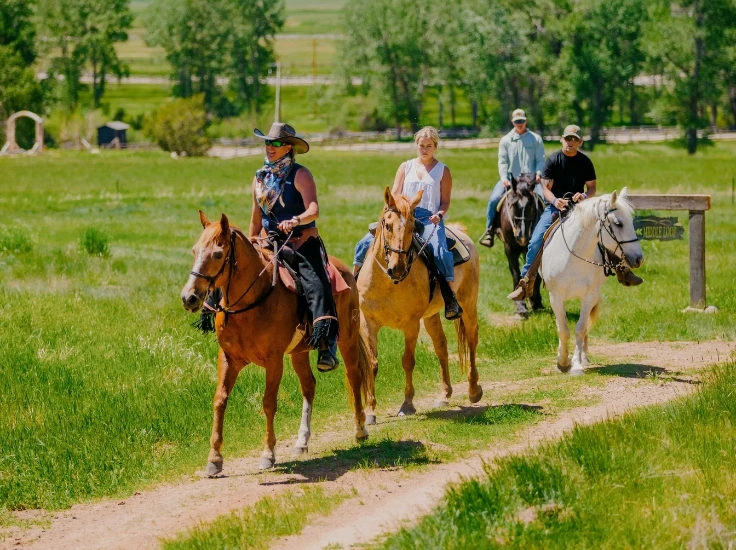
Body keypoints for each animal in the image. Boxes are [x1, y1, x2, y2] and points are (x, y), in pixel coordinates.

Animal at [181, 211, 373, 475]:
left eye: (218, 254)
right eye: (194, 250)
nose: (188, 297)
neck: (251, 303)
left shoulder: (274, 360)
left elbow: (268, 403)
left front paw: (268, 454)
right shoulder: (228, 358)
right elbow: (220, 400)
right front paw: (214, 459)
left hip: (348, 338)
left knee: (354, 377)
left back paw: (360, 429)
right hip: (299, 353)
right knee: (309, 386)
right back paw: (302, 441)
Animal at [357, 188, 483, 421]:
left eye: (412, 227)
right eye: (387, 225)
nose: (397, 268)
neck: (389, 283)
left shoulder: (411, 325)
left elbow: (408, 361)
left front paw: (407, 404)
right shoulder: (367, 322)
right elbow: (372, 363)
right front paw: (370, 411)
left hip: (468, 305)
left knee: (471, 341)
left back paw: (473, 390)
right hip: (431, 316)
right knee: (441, 346)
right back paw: (444, 395)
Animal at [496, 173, 544, 317]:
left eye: (532, 206)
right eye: (512, 205)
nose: (522, 236)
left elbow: (535, 274)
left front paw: (535, 301)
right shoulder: (510, 249)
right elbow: (516, 274)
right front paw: (520, 305)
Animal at [541, 188, 643, 375]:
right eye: (618, 223)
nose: (639, 258)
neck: (573, 256)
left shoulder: (589, 296)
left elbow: (580, 328)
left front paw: (577, 364)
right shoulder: (556, 297)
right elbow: (563, 330)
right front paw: (562, 362)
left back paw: (584, 356)